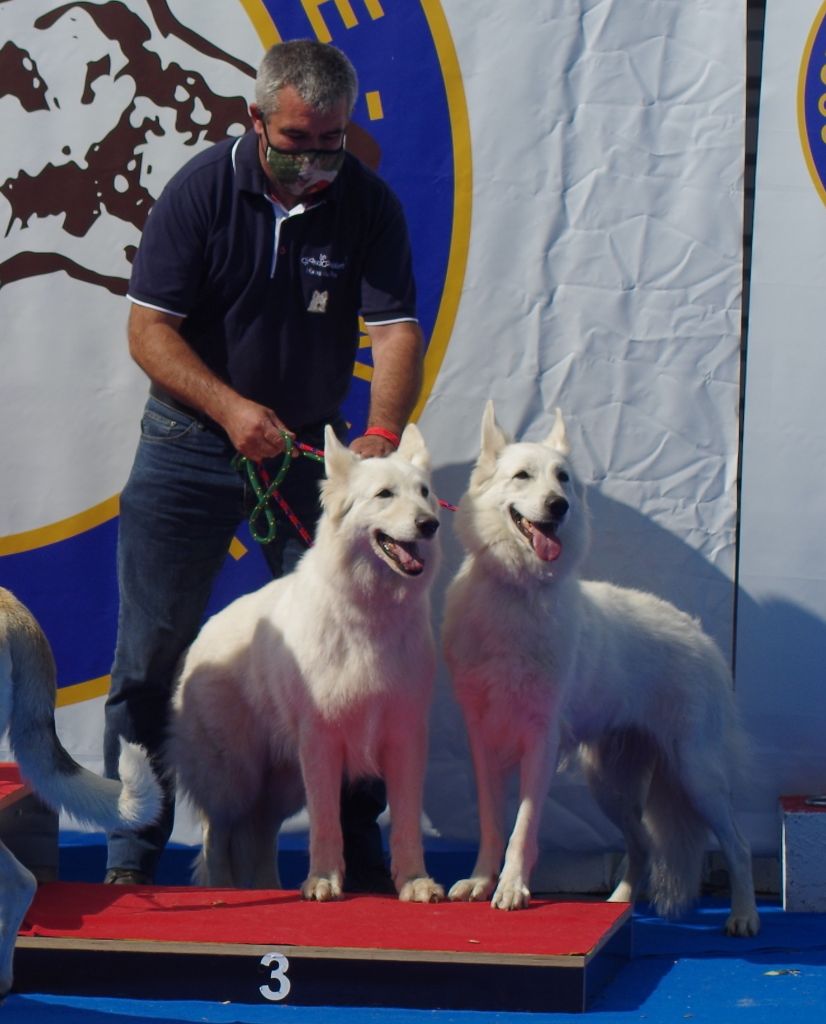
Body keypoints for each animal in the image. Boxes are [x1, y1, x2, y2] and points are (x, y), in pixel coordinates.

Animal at [166, 423, 446, 905]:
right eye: (385, 494)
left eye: (424, 493)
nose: (430, 524)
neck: (369, 613)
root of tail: (202, 636)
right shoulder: (321, 741)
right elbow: (326, 824)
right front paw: (323, 880)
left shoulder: (405, 737)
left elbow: (407, 823)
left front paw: (415, 882)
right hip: (235, 776)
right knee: (216, 834)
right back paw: (222, 890)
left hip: (281, 783)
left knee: (260, 833)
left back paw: (267, 887)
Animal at [442, 401, 757, 937]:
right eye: (522, 475)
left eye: (563, 479)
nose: (558, 506)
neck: (517, 593)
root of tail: (700, 634)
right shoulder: (482, 739)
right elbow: (490, 824)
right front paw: (481, 881)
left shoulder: (540, 742)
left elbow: (522, 828)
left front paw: (511, 888)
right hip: (609, 784)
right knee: (643, 844)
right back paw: (618, 904)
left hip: (696, 774)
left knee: (737, 844)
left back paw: (745, 915)